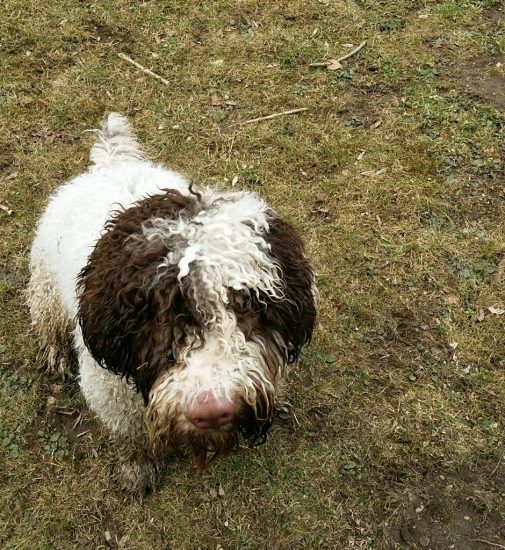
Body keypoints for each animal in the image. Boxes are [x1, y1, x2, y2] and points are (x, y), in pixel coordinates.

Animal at [27, 114, 316, 494]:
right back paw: (56, 351)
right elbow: (131, 438)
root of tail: (111, 163)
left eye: (248, 304)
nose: (211, 411)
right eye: (155, 312)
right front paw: (136, 468)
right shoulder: (113, 396)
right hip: (45, 284)